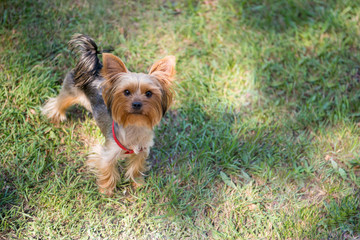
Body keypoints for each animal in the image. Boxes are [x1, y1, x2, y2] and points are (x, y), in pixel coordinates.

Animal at [42, 33, 176, 195]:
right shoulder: (108, 152)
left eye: (149, 93)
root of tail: (93, 67)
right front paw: (106, 191)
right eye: (126, 92)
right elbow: (107, 169)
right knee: (58, 102)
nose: (137, 104)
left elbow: (136, 166)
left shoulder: (142, 149)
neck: (134, 123)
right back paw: (55, 117)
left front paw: (137, 183)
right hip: (70, 91)